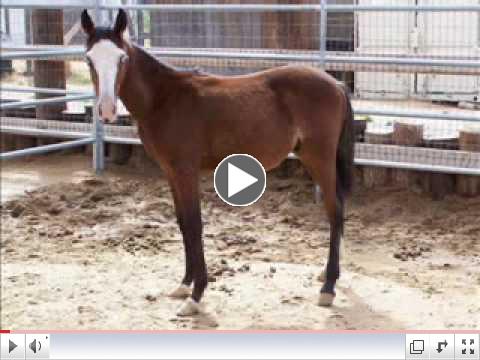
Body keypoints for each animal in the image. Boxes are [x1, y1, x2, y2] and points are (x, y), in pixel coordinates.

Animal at [81, 9, 352, 316]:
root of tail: (336, 84)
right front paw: (184, 284)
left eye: (122, 59)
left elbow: (195, 224)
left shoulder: (186, 171)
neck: (164, 99)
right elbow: (183, 224)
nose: (106, 110)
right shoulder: (171, 173)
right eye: (89, 59)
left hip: (319, 158)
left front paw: (196, 295)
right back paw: (329, 276)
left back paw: (328, 287)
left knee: (335, 212)